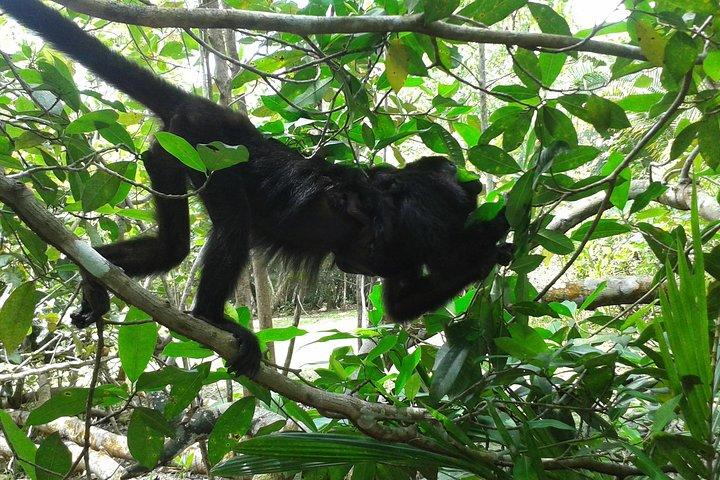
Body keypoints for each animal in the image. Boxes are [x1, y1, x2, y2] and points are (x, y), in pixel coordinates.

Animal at [0, 0, 512, 377]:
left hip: (173, 148)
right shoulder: (424, 208)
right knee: (232, 225)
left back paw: (95, 274)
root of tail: (213, 110)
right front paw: (495, 233)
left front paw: (493, 252)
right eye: (453, 172)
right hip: (209, 147)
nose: (474, 180)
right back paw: (211, 317)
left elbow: (402, 303)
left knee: (172, 245)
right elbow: (438, 246)